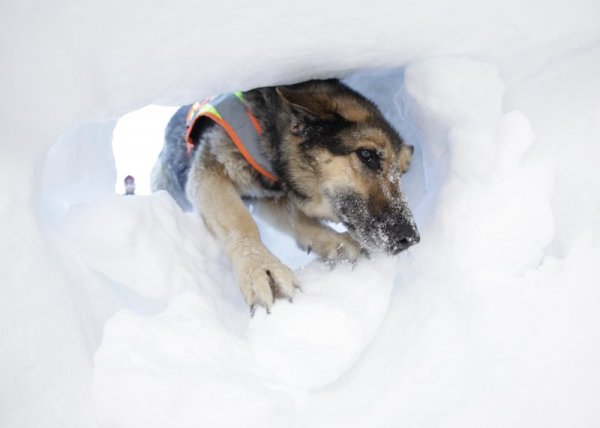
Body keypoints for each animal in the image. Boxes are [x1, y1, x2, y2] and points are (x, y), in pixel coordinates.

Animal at [152, 79, 420, 314]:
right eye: (367, 155)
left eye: (402, 172)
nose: (410, 239)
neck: (269, 136)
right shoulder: (211, 169)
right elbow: (239, 220)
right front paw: (261, 267)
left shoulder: (271, 196)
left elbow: (297, 217)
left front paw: (334, 241)